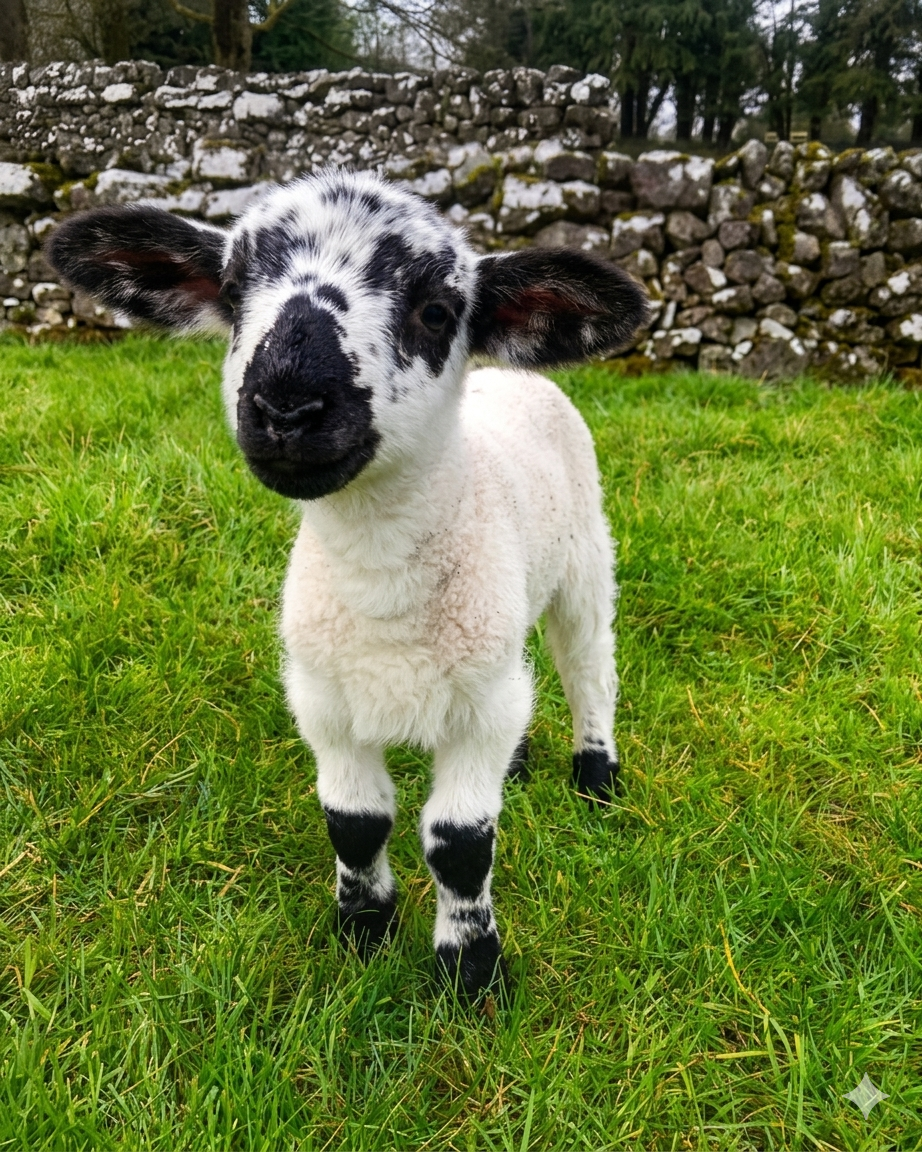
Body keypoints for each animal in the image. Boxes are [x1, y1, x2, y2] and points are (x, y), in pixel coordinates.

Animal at [47, 169, 648, 999]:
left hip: (587, 556)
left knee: (590, 666)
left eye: (436, 311)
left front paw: (470, 972)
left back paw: (596, 776)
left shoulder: (474, 715)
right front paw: (364, 931)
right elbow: (354, 822)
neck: (379, 578)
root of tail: (511, 374)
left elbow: (460, 844)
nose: (286, 405)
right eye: (232, 292)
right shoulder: (325, 700)